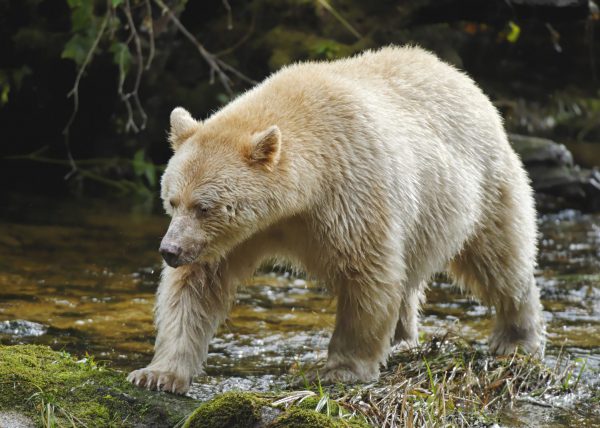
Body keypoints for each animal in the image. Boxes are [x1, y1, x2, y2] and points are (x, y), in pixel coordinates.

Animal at [129, 45, 548, 392]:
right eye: (172, 200)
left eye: (205, 207)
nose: (170, 250)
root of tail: (462, 78)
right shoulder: (237, 237)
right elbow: (196, 287)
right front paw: (157, 374)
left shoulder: (351, 194)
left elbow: (367, 275)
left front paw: (342, 369)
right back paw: (403, 339)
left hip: (481, 183)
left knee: (499, 258)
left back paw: (516, 338)